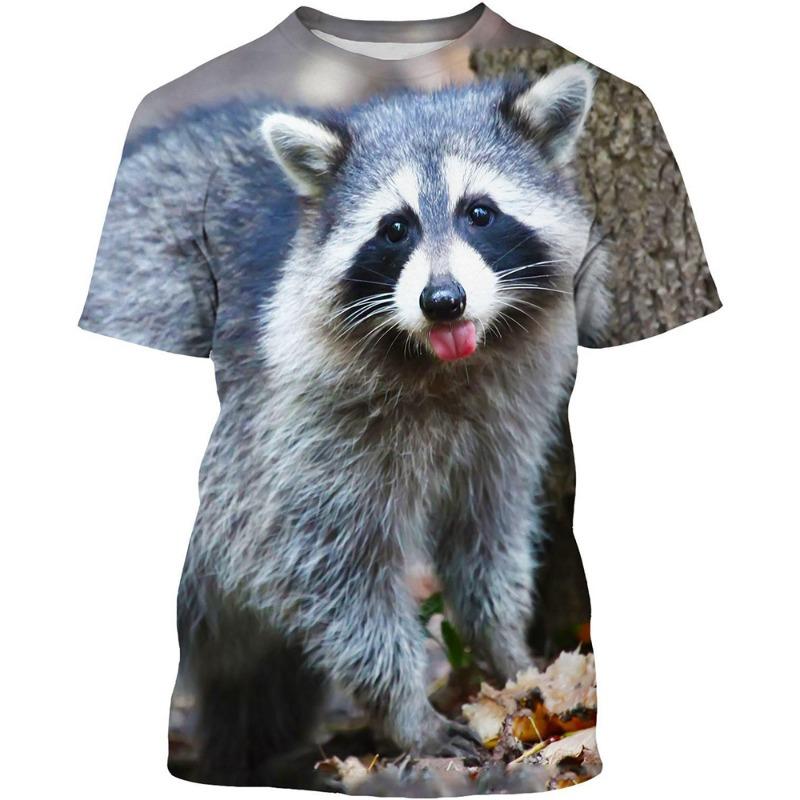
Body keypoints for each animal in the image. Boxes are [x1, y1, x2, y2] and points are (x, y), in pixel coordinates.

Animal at [99, 63, 608, 784]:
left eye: (479, 213)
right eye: (394, 228)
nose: (443, 300)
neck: (438, 364)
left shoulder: (507, 416)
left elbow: (489, 532)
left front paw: (508, 652)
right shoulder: (284, 425)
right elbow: (326, 569)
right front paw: (405, 707)